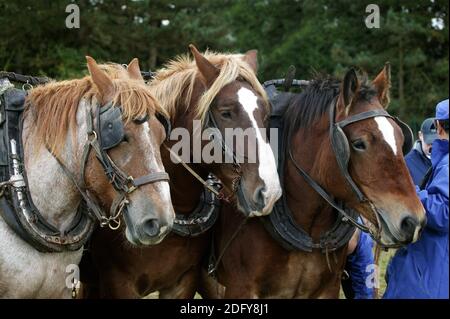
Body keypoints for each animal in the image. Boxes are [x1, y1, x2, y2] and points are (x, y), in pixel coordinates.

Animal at [200, 65, 426, 300]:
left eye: (402, 139)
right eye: (359, 143)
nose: (413, 221)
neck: (310, 227)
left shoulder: (328, 289)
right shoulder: (241, 288)